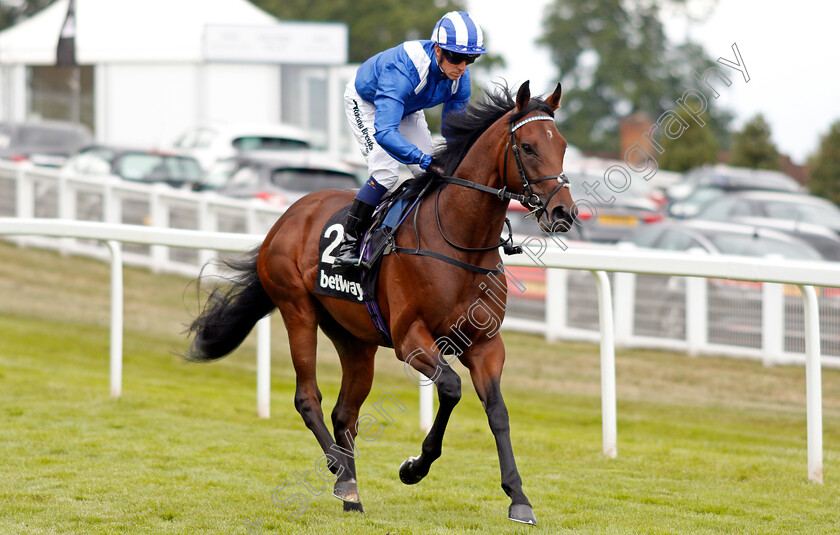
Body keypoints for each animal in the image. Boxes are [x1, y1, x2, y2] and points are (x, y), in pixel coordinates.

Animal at [186, 81, 576, 524]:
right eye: (527, 147)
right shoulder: (411, 340)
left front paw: (519, 498)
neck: (460, 243)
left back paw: (351, 492)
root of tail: (287, 216)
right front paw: (414, 468)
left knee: (345, 413)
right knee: (308, 399)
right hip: (297, 308)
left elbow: (497, 411)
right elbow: (452, 388)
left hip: (355, 339)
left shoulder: (486, 344)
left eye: (562, 145)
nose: (563, 211)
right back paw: (341, 476)